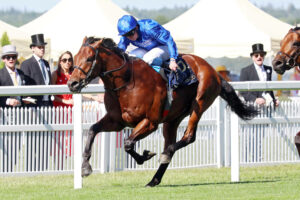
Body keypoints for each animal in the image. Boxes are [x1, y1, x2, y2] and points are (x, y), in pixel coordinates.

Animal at [68, 36, 258, 187]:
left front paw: (144, 156)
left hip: (200, 103)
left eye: (89, 58)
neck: (127, 83)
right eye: (75, 58)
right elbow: (92, 130)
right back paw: (154, 179)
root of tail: (213, 71)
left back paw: (166, 155)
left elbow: (128, 143)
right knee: (172, 140)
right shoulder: (117, 121)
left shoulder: (150, 122)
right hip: (172, 119)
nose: (72, 83)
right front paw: (85, 167)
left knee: (188, 137)